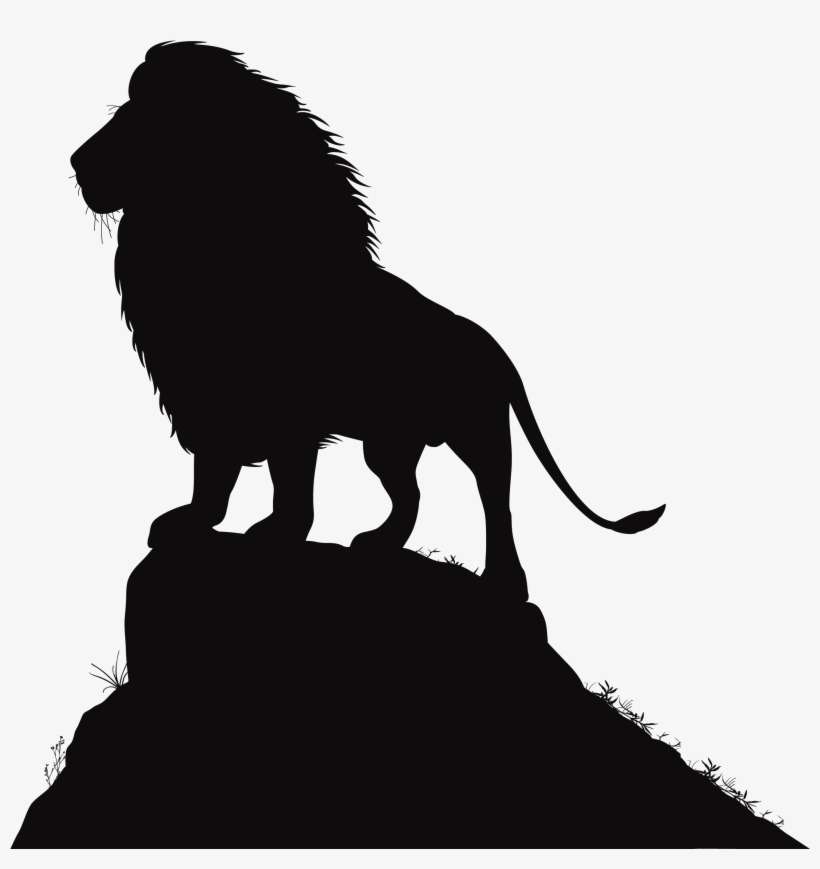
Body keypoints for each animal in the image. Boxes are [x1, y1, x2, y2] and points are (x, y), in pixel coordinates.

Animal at [70, 41, 664, 600]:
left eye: (142, 120)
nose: (76, 162)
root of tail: (495, 350)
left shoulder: (287, 411)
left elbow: (288, 481)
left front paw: (276, 534)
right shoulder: (206, 397)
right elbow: (214, 475)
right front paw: (195, 522)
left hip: (479, 433)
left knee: (496, 501)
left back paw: (506, 582)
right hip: (389, 443)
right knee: (411, 495)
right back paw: (377, 544)